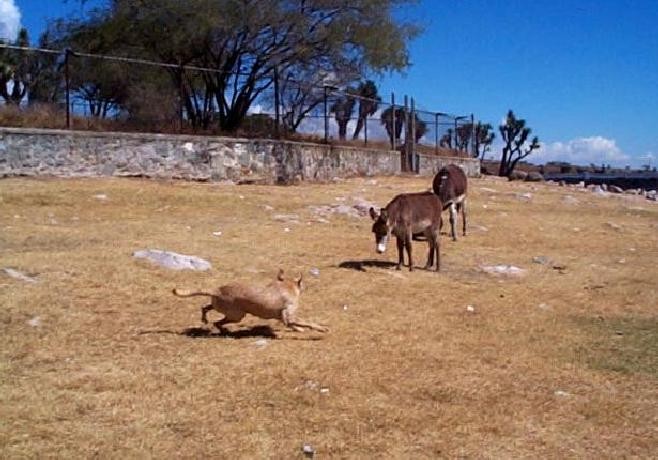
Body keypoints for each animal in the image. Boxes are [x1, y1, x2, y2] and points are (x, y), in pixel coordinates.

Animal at [174, 268, 328, 332]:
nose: (307, 286)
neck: (286, 285)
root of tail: (216, 290)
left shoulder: (285, 318)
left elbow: (292, 325)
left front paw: (298, 329)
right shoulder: (290, 316)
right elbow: (308, 322)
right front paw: (321, 329)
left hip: (220, 306)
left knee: (205, 307)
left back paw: (205, 320)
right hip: (237, 315)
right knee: (217, 322)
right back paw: (223, 330)